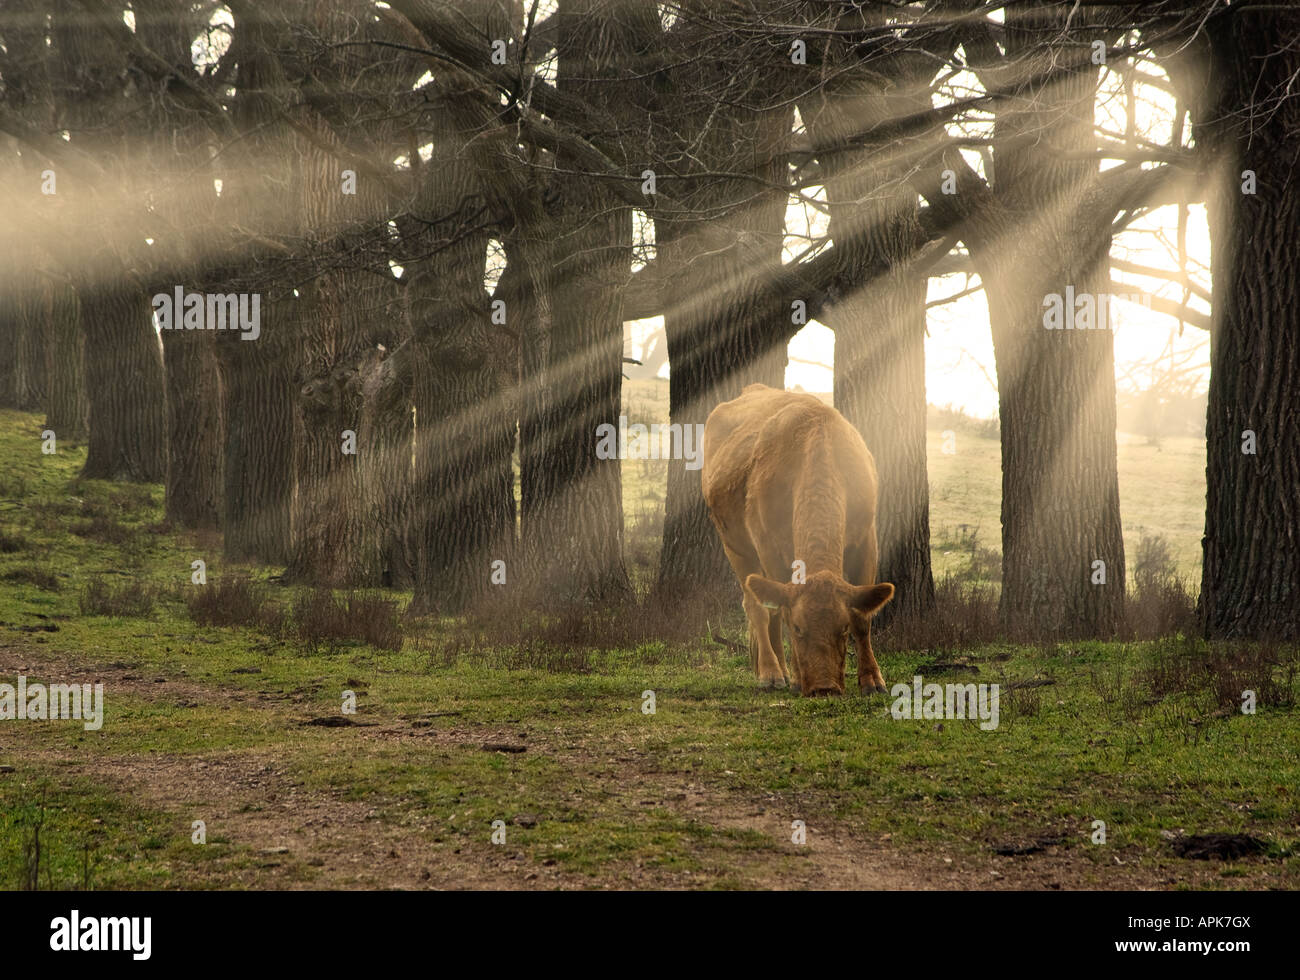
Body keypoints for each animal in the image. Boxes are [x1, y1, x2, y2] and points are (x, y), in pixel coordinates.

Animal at [701, 383, 895, 696]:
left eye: (842, 629)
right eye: (797, 628)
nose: (824, 688)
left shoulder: (867, 539)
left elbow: (862, 617)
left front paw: (872, 678)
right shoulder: (769, 546)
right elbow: (779, 608)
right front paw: (793, 677)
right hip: (735, 546)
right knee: (757, 607)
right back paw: (771, 671)